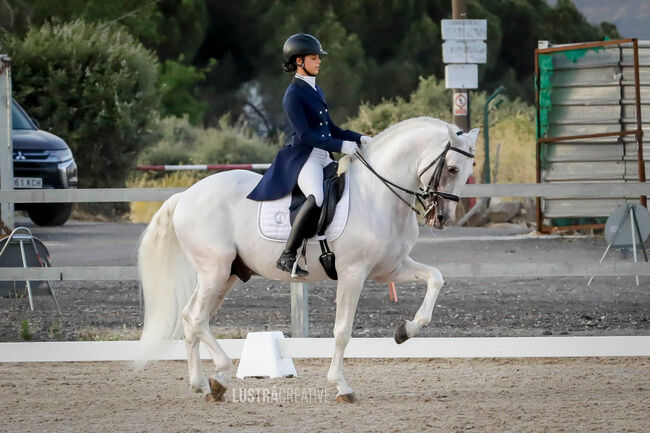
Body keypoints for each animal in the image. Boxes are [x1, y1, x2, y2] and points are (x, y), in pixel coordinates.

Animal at [137, 117, 476, 402]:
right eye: (453, 169)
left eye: (468, 171)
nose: (442, 218)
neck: (377, 194)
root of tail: (186, 195)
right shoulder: (353, 273)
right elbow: (342, 331)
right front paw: (341, 386)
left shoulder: (389, 268)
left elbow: (435, 278)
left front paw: (405, 331)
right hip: (215, 270)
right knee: (196, 318)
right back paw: (219, 374)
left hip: (227, 274)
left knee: (191, 317)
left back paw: (205, 384)